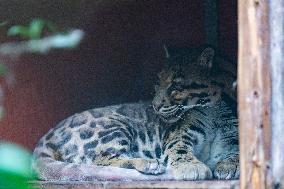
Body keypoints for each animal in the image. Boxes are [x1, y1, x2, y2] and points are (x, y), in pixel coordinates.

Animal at [32, 45, 239, 181]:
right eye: (157, 84)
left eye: (175, 87)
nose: (155, 106)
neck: (216, 110)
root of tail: (48, 135)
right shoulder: (179, 135)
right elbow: (179, 149)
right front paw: (191, 166)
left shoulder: (232, 137)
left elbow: (236, 152)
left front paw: (229, 165)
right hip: (113, 127)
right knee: (98, 160)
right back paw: (149, 164)